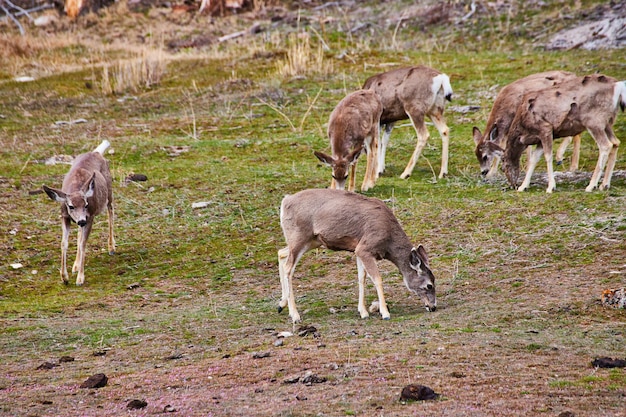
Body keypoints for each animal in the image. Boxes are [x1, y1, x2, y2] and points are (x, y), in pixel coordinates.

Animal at [43, 139, 115, 282]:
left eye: (86, 204)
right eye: (71, 206)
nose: (81, 221)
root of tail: (96, 152)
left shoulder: (90, 216)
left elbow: (83, 243)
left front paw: (80, 279)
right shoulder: (65, 216)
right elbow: (64, 243)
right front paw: (64, 277)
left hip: (108, 191)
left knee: (111, 211)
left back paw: (111, 247)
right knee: (79, 233)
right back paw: (75, 265)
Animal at [276, 188, 436, 322]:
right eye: (429, 285)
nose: (433, 307)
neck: (389, 241)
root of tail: (285, 201)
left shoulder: (358, 249)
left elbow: (361, 278)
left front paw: (363, 312)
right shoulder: (365, 248)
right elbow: (377, 278)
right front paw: (385, 313)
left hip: (311, 241)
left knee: (281, 253)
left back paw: (281, 304)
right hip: (299, 237)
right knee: (288, 268)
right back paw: (295, 315)